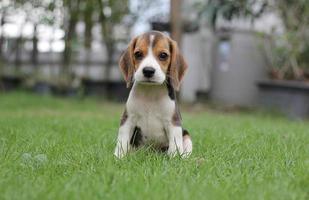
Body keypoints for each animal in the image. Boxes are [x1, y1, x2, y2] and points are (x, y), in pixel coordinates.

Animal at [114, 31, 191, 159]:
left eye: (163, 55)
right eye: (138, 54)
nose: (148, 71)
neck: (151, 92)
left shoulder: (173, 122)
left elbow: (175, 144)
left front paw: (174, 158)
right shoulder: (128, 119)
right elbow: (122, 140)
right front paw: (119, 157)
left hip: (186, 135)